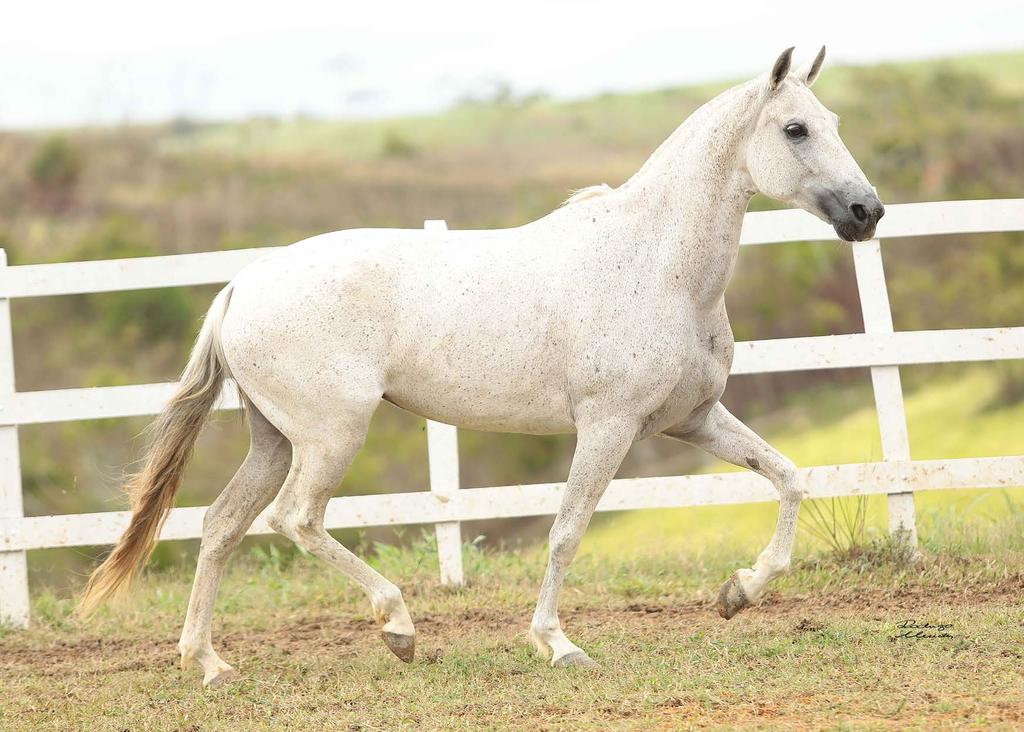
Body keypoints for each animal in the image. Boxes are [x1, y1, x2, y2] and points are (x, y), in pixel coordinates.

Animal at [81, 45, 880, 687]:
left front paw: (737, 593)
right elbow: (567, 531)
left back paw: (209, 663)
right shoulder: (609, 427)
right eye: (796, 129)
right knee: (295, 520)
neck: (658, 267)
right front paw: (558, 646)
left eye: (834, 119)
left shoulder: (693, 420)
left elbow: (789, 477)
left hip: (274, 438)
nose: (866, 212)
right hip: (331, 437)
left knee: (221, 525)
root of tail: (242, 286)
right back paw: (398, 627)